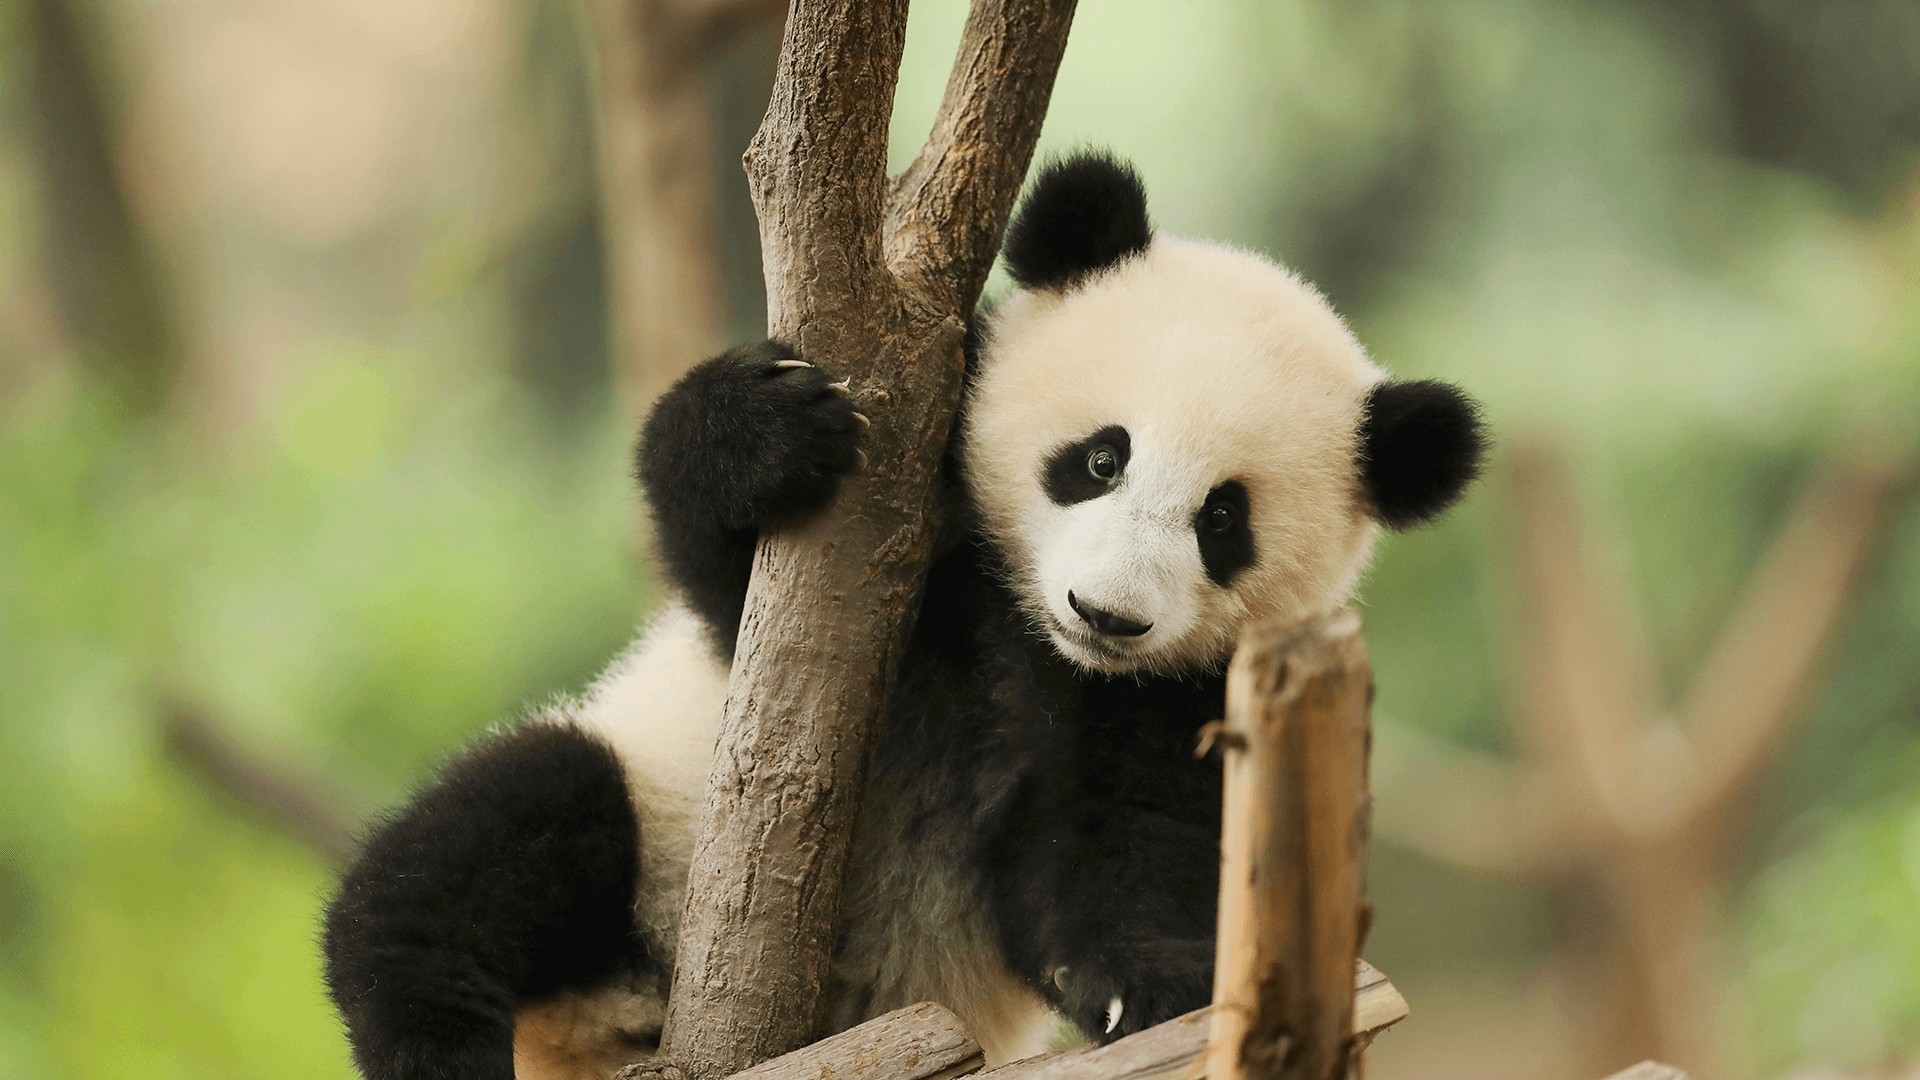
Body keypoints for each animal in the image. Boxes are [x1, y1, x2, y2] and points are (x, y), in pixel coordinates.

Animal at [321, 151, 1485, 1080]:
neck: (1031, 640)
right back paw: (434, 1034)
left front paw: (1150, 988)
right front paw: (763, 431)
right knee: (481, 850)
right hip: (651, 835)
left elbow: (1107, 851)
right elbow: (727, 585)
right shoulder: (890, 561)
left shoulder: (1165, 698)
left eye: (1223, 521)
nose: (1106, 613)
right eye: (1100, 458)